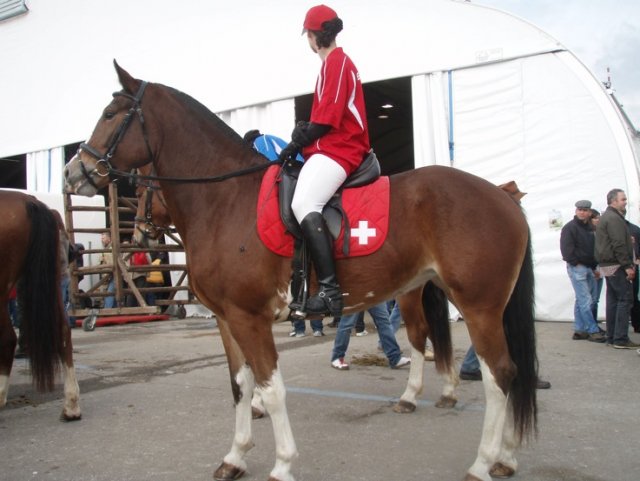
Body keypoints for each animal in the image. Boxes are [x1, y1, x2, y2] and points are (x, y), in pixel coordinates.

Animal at [64, 62, 537, 481]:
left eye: (110, 115)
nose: (72, 173)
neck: (226, 200)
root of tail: (502, 196)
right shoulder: (225, 319)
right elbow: (240, 385)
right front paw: (235, 458)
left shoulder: (250, 318)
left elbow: (271, 390)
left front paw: (282, 465)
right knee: (489, 364)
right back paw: (504, 457)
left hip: (478, 307)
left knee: (499, 375)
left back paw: (482, 463)